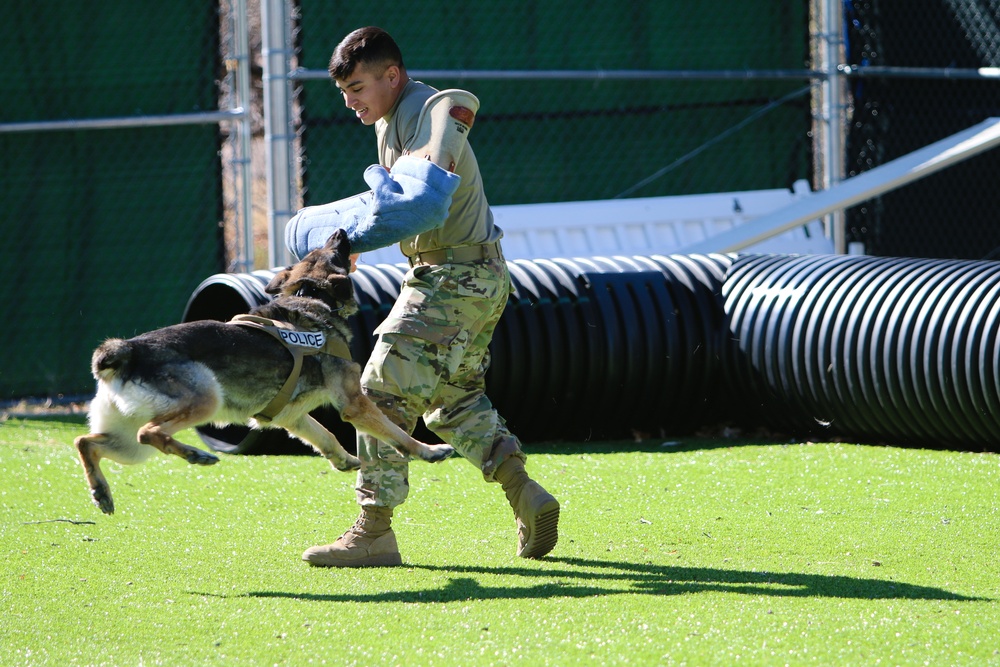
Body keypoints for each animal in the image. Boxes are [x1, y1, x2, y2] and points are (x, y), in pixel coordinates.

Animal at [76, 230, 452, 516]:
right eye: (333, 252)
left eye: (320, 250)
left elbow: (326, 436)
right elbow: (395, 432)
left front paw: (345, 460)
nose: (340, 231)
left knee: (87, 442)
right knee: (149, 433)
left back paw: (101, 492)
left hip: (127, 445)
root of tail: (126, 350)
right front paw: (427, 451)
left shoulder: (292, 417)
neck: (309, 296)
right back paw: (197, 455)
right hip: (203, 401)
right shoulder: (354, 404)